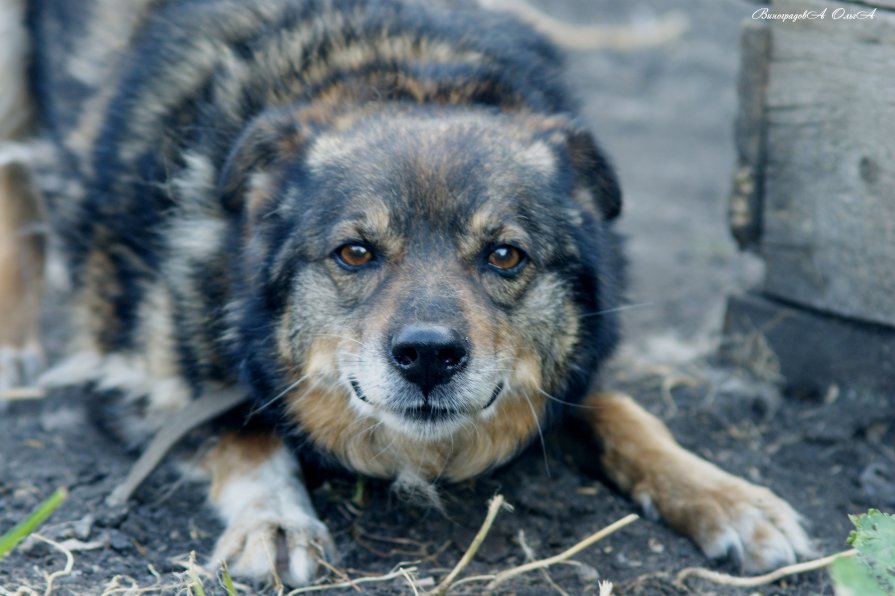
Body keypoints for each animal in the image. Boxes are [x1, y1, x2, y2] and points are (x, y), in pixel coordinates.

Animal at [1, 0, 812, 588]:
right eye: (355, 253)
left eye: (505, 255)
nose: (427, 357)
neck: (396, 69)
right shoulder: (135, 379)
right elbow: (244, 429)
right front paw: (276, 521)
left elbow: (626, 412)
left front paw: (731, 499)